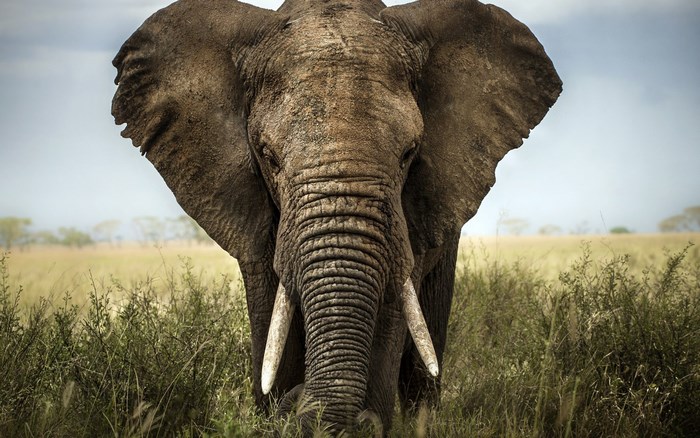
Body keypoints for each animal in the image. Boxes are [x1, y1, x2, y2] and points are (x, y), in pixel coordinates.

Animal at [112, 0, 561, 433]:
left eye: (409, 153)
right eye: (268, 156)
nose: (297, 402)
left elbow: (393, 305)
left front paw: (366, 421)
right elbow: (270, 309)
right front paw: (277, 410)